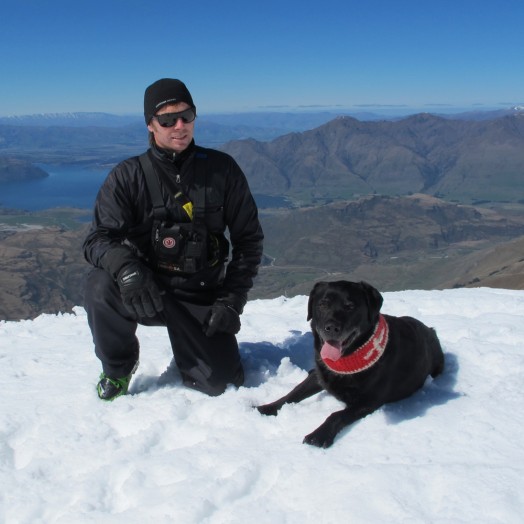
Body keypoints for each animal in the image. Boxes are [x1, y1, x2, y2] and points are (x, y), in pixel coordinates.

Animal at [256, 280, 444, 448]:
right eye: (322, 304)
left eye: (350, 306)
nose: (331, 327)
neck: (346, 361)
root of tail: (431, 330)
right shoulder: (320, 375)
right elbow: (293, 393)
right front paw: (266, 408)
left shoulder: (368, 400)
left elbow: (336, 414)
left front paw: (318, 435)